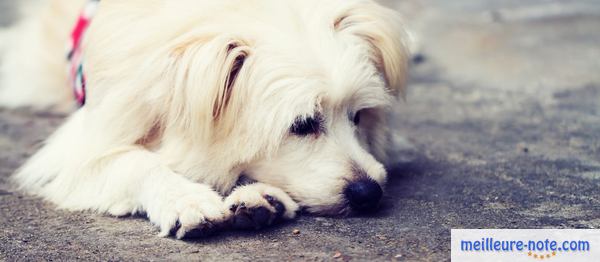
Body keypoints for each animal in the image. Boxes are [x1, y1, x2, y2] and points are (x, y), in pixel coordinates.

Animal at [0, 0, 408, 238]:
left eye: (358, 116)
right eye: (303, 124)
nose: (369, 193)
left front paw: (260, 197)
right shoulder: (80, 149)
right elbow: (137, 162)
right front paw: (186, 200)